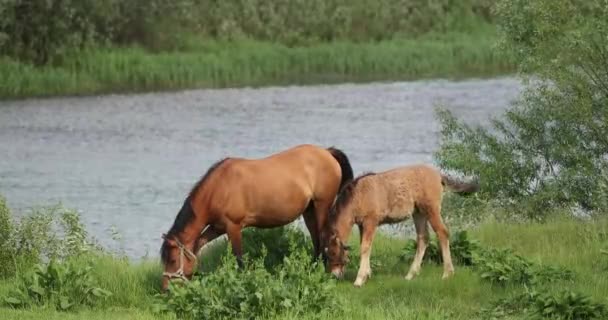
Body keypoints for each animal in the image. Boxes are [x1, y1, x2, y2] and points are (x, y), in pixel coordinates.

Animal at [159, 144, 354, 292]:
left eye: (173, 260)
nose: (166, 289)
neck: (219, 187)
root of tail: (327, 152)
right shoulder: (217, 227)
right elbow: (198, 244)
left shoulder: (233, 227)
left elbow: (239, 257)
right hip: (309, 210)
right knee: (316, 239)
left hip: (322, 206)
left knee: (324, 236)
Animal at [324, 164, 480, 286]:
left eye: (333, 253)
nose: (334, 275)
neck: (358, 196)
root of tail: (439, 175)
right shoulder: (362, 225)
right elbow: (366, 246)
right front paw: (367, 274)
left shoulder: (371, 222)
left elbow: (365, 247)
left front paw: (360, 279)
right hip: (419, 213)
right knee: (423, 238)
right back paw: (411, 274)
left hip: (432, 210)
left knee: (442, 233)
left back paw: (447, 273)